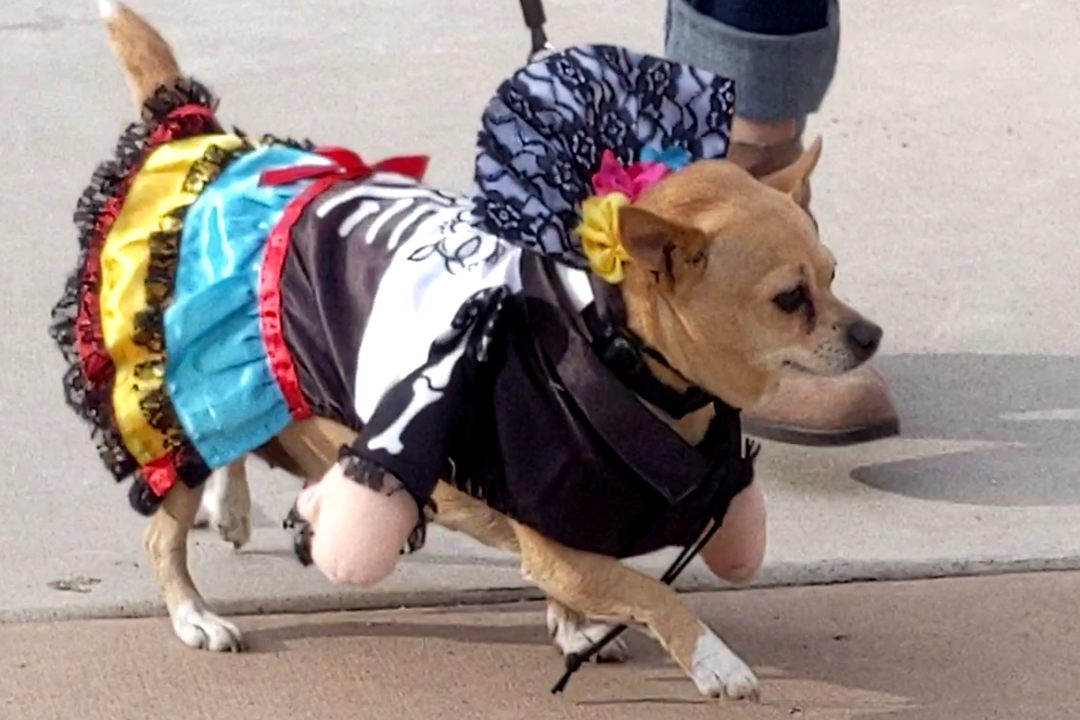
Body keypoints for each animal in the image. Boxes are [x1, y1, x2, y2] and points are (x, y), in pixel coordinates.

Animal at [63, 0, 881, 703]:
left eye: (834, 275)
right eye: (790, 299)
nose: (870, 335)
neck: (605, 338)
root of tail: (197, 138)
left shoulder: (563, 533)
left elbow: (589, 589)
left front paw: (573, 630)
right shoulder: (558, 545)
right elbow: (650, 590)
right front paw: (715, 660)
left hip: (257, 382)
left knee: (231, 439)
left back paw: (229, 508)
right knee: (162, 534)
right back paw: (194, 615)